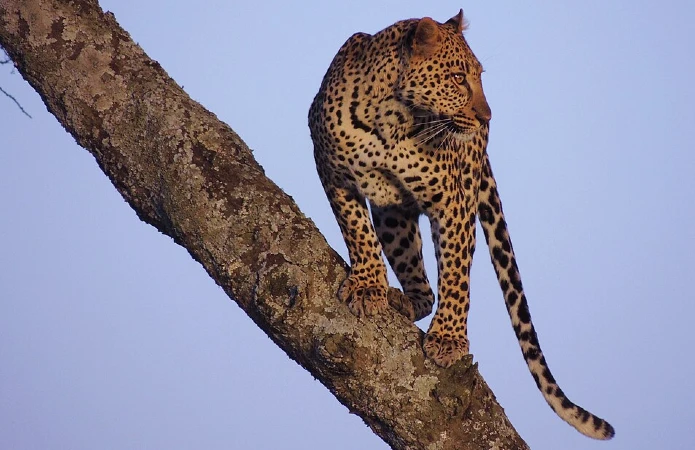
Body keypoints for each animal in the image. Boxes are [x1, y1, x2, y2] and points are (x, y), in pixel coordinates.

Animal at [309, 9, 614, 440]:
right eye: (456, 77)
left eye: (479, 75)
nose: (488, 116)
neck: (391, 119)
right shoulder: (331, 168)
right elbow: (357, 231)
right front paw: (368, 285)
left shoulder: (452, 206)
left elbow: (456, 280)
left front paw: (449, 340)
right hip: (393, 216)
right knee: (418, 278)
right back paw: (401, 299)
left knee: (435, 286)